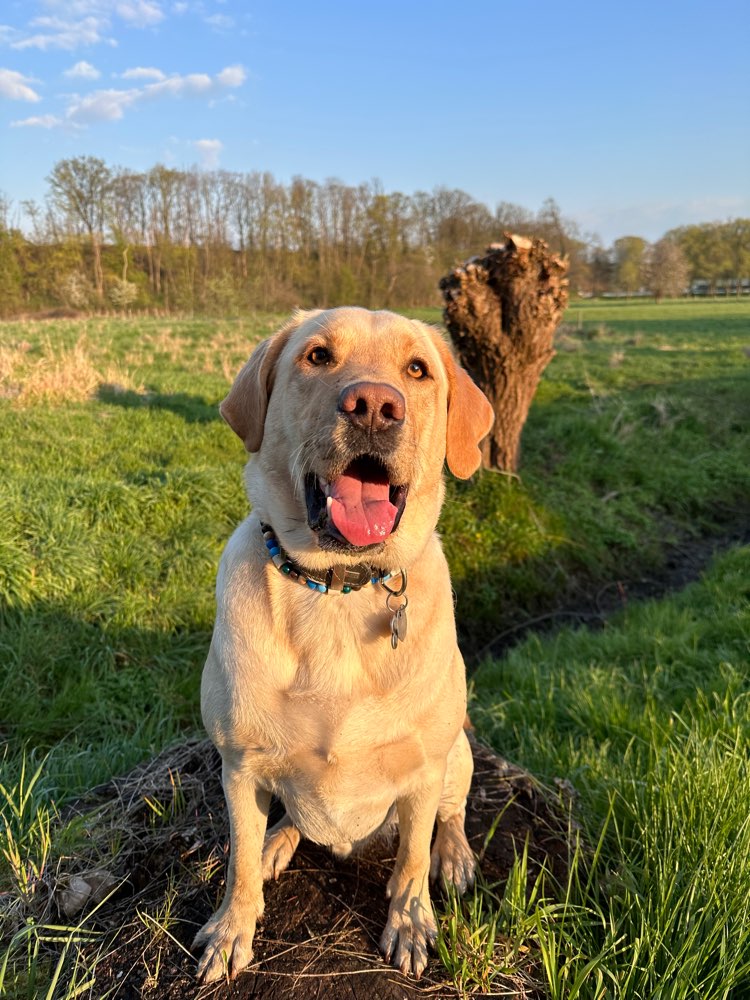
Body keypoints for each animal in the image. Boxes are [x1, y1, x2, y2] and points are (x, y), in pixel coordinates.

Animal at [197, 304, 496, 976]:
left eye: (417, 370)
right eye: (317, 356)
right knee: (284, 820)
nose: (375, 407)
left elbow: (411, 859)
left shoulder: (423, 768)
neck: (337, 590)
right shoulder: (238, 766)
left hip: (457, 755)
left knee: (451, 814)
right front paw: (231, 929)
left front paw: (409, 923)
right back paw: (279, 841)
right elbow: (238, 862)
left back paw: (455, 856)